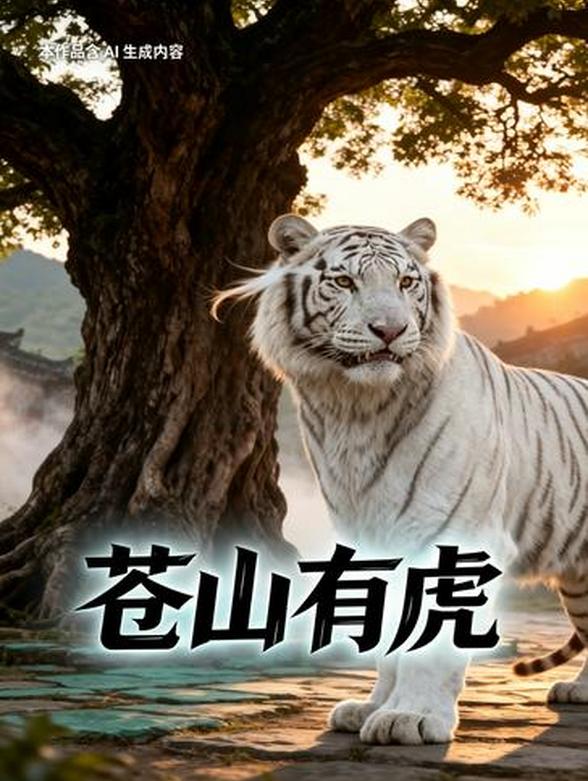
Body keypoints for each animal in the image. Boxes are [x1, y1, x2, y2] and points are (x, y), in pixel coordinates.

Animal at [212, 214, 588, 745]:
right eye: (344, 281)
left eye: (407, 283)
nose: (390, 330)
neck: (356, 411)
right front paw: (372, 707)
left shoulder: (453, 532)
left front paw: (411, 717)